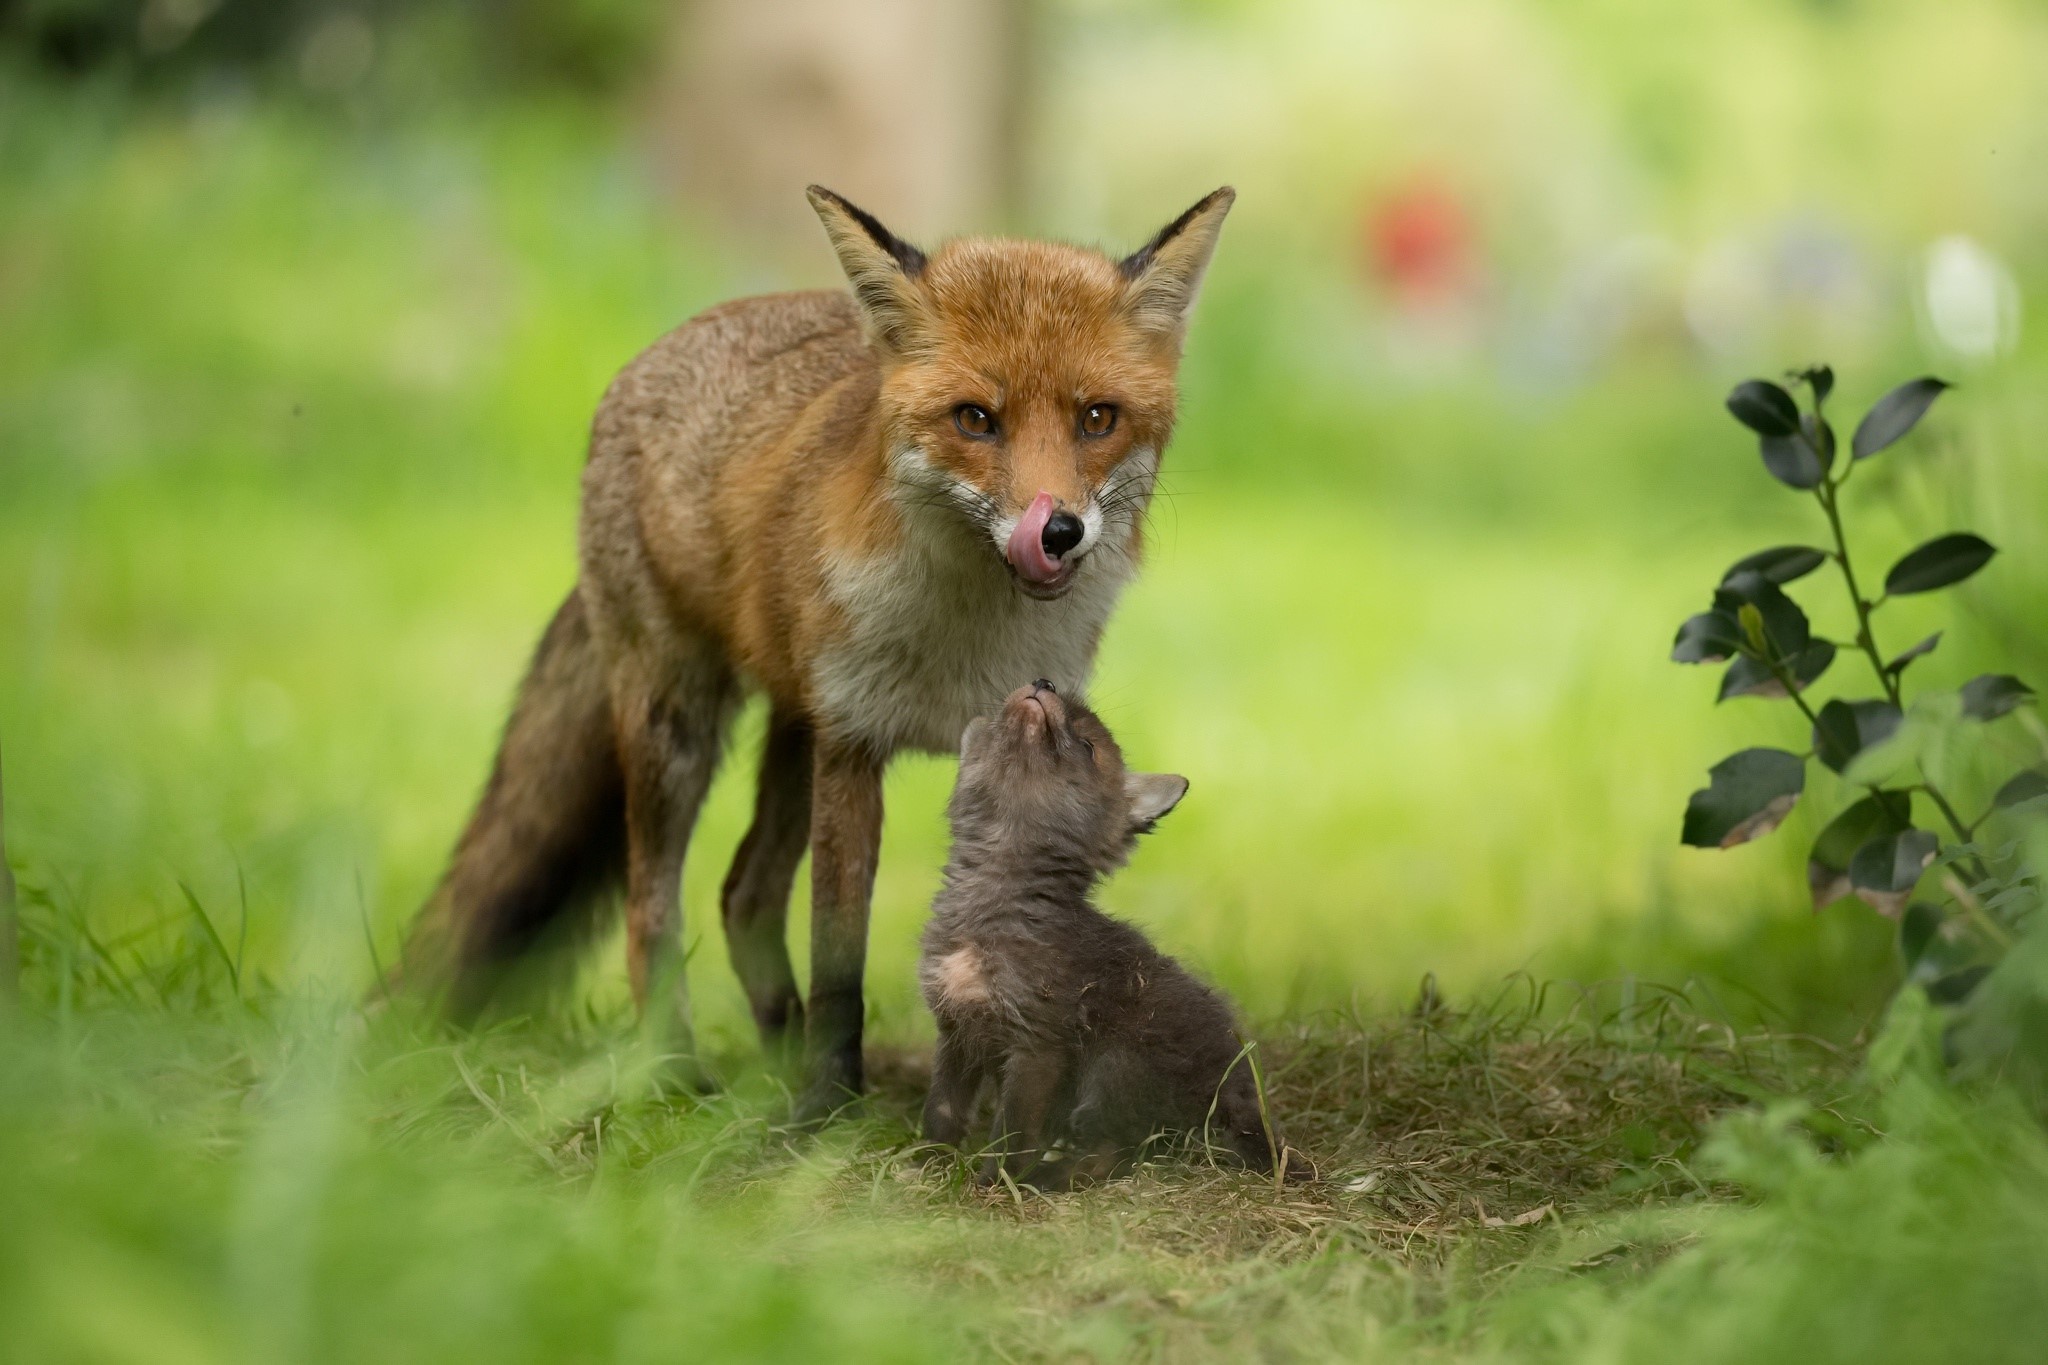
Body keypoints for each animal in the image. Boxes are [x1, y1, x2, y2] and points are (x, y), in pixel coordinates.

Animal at [399, 183, 1235, 1117]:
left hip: (792, 732)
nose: (1056, 531)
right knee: (655, 910)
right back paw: (676, 1071)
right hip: (680, 729)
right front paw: (830, 1108)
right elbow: (841, 959)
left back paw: (774, 1051)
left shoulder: (995, 731)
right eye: (975, 420)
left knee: (743, 893)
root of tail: (652, 354)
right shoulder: (852, 745)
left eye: (1098, 418)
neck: (968, 634)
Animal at [920, 680, 1282, 1188]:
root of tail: (1237, 1089)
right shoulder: (955, 1031)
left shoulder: (1038, 1047)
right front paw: (924, 1169)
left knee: (1109, 1158)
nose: (1044, 683)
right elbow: (942, 1113)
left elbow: (1012, 1132)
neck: (988, 909)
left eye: (1088, 747)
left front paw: (995, 1186)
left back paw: (1043, 1181)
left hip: (1112, 1070)